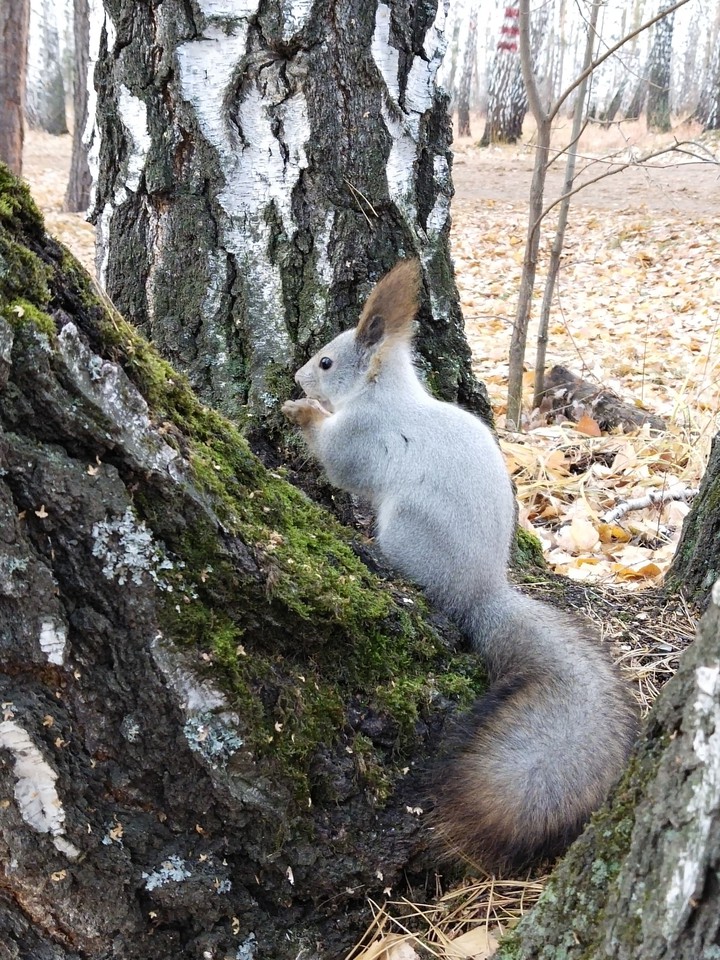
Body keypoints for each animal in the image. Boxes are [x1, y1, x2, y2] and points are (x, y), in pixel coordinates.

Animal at [282, 259, 638, 874]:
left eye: (326, 362)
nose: (301, 378)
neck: (382, 394)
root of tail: (480, 594)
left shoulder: (360, 438)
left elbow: (337, 462)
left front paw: (300, 411)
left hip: (408, 528)